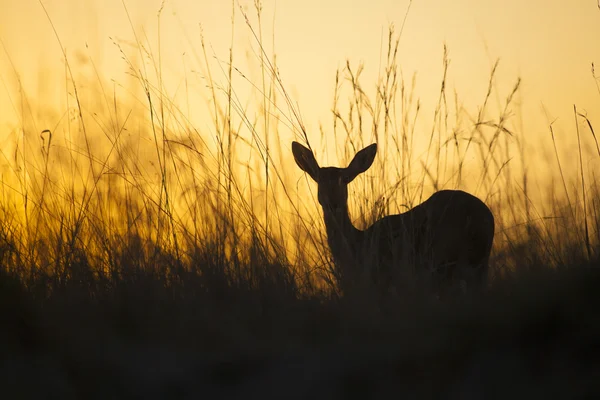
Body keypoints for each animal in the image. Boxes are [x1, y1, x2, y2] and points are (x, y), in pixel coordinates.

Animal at [292, 141, 496, 296]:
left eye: (345, 179)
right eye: (319, 179)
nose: (332, 201)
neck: (357, 242)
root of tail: (485, 217)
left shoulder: (382, 276)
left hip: (442, 258)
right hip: (477, 263)